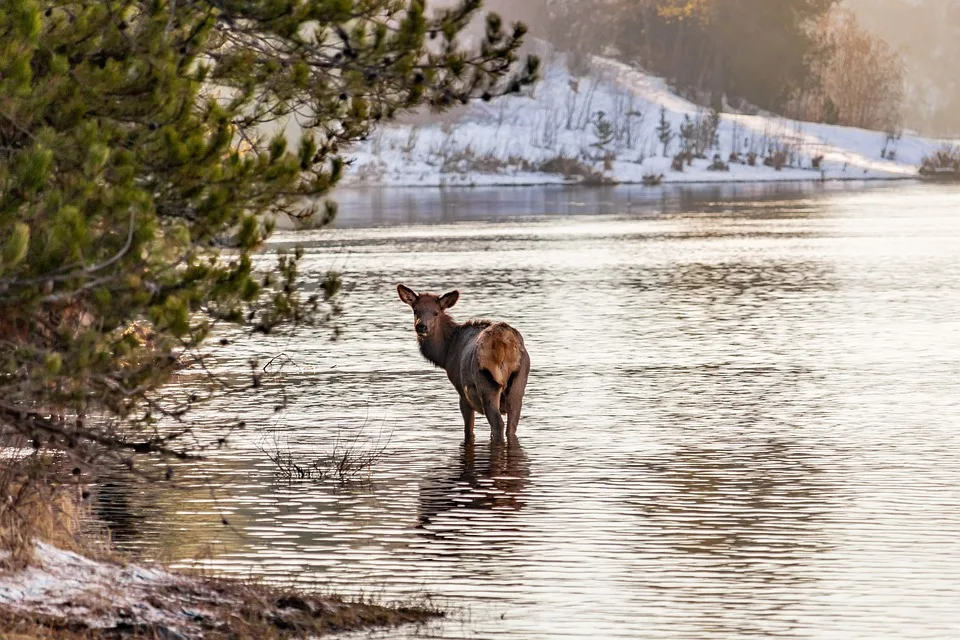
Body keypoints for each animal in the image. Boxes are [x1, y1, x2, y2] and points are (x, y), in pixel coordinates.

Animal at [398, 284, 532, 444]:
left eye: (436, 312)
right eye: (415, 310)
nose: (421, 327)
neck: (445, 354)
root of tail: (504, 342)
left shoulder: (461, 391)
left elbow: (468, 431)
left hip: (486, 383)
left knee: (498, 424)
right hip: (519, 382)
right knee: (512, 426)